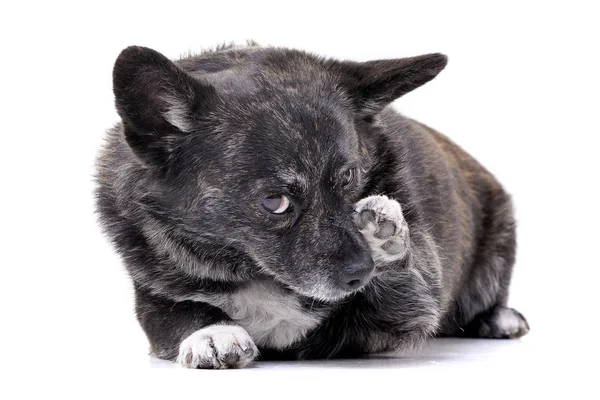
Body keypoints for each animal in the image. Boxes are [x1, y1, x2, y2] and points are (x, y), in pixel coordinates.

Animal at [95, 43, 528, 368]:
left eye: (349, 178)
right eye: (275, 202)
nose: (359, 272)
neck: (253, 270)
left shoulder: (405, 312)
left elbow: (404, 287)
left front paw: (383, 236)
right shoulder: (155, 298)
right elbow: (180, 314)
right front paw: (213, 333)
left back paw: (499, 317)